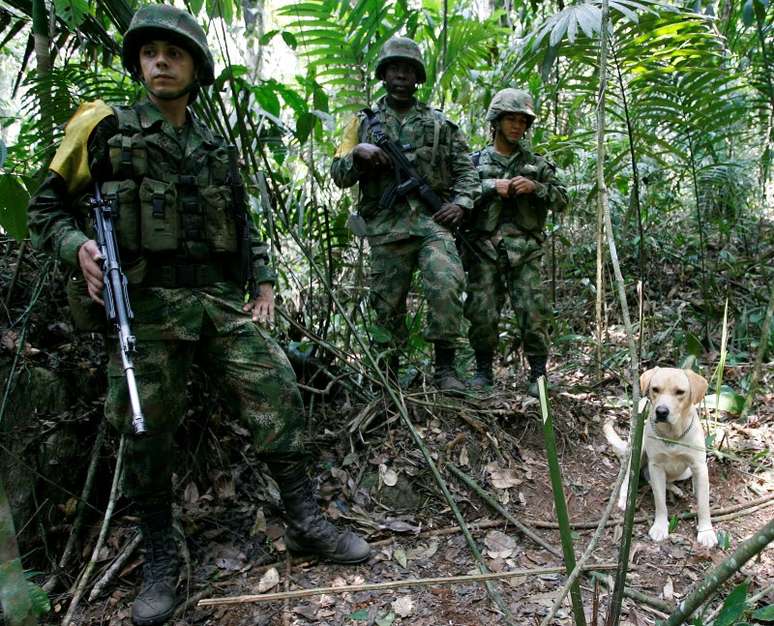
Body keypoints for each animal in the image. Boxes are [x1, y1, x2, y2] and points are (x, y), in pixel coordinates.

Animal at [604, 366, 720, 544]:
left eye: (680, 392)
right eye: (655, 389)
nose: (661, 411)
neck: (672, 436)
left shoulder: (699, 466)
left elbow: (703, 504)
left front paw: (706, 531)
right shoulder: (656, 466)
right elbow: (660, 501)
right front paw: (660, 527)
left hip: (686, 471)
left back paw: (677, 489)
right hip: (637, 453)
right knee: (631, 477)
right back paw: (625, 498)